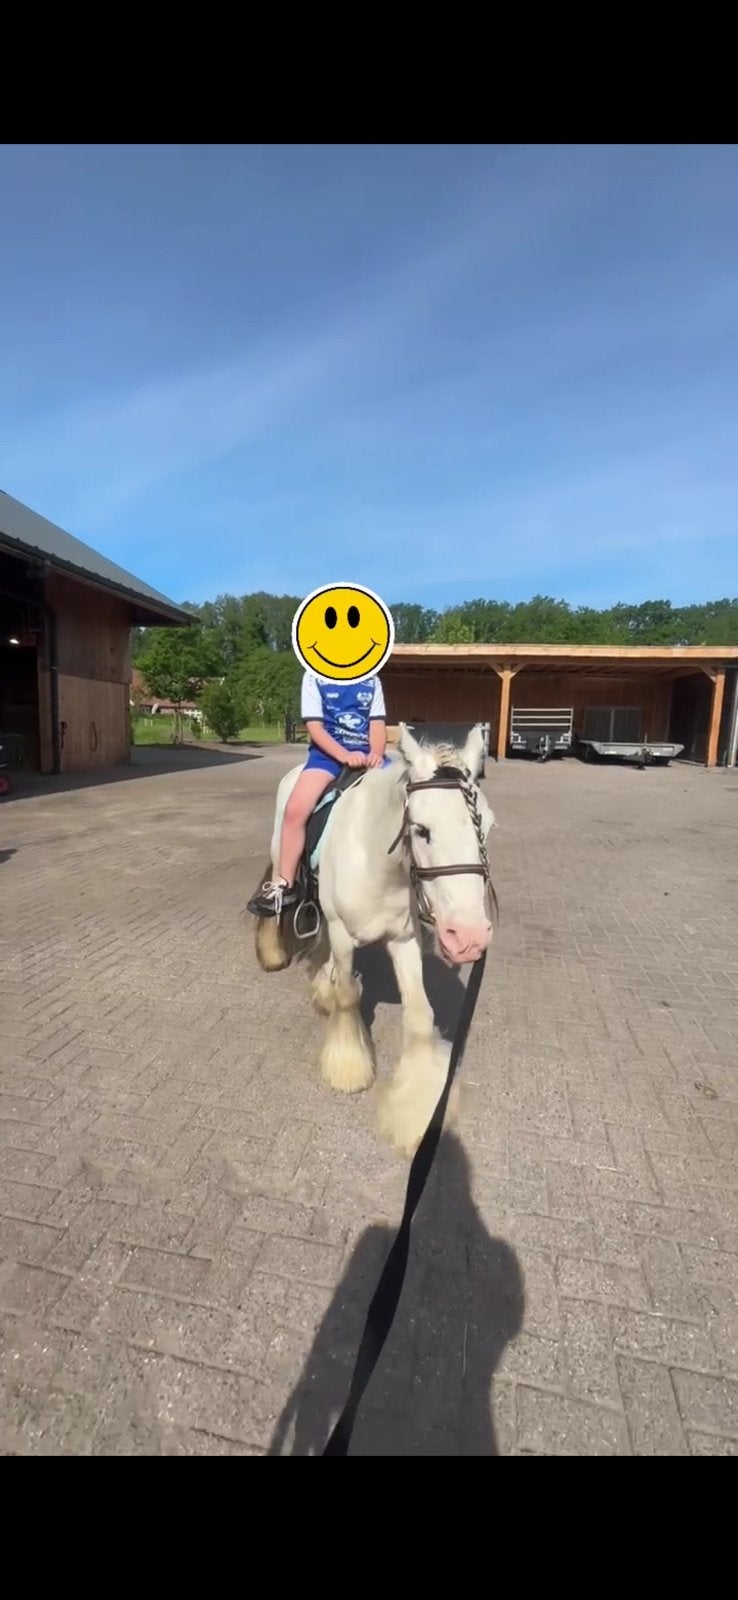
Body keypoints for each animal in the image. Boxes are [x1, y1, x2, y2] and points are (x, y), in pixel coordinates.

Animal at [252, 722, 496, 1155]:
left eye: (487, 825)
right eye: (421, 830)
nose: (468, 936)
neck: (377, 862)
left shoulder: (404, 939)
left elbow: (419, 1015)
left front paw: (418, 1108)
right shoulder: (343, 933)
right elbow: (349, 997)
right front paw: (348, 1066)